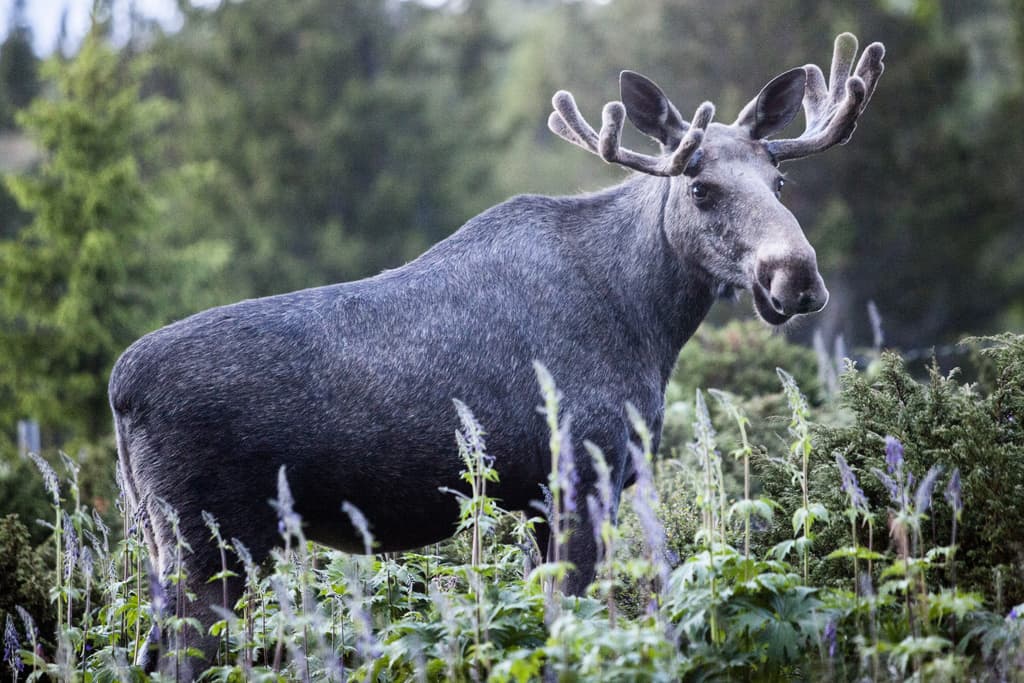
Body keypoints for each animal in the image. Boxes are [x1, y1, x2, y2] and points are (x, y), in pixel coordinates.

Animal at [109, 33, 884, 674]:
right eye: (700, 187)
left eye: (779, 182)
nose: (796, 275)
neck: (648, 322)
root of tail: (119, 390)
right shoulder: (579, 474)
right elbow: (575, 619)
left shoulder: (546, 497)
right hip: (208, 545)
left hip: (163, 543)